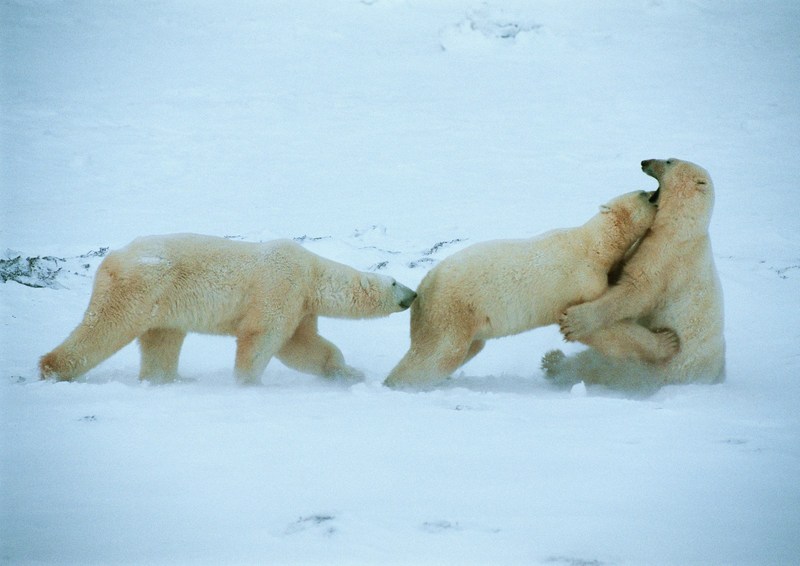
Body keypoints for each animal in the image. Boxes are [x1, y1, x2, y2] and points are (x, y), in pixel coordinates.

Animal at [39, 235, 416, 386]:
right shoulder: (279, 284)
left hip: (164, 303)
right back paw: (52, 369)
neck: (312, 273)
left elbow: (303, 347)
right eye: (395, 282)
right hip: (139, 287)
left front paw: (346, 373)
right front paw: (248, 383)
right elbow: (261, 336)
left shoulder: (300, 305)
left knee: (162, 340)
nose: (413, 295)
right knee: (105, 327)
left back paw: (168, 379)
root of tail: (112, 258)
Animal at [384, 192, 660, 390]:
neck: (594, 245)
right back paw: (398, 383)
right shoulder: (581, 279)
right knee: (440, 353)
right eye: (644, 194)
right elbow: (598, 319)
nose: (655, 193)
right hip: (452, 310)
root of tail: (424, 286)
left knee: (468, 347)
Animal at [552, 158, 724, 392]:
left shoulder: (667, 258)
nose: (644, 162)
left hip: (665, 368)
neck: (681, 230)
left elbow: (634, 292)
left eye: (669, 161)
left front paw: (575, 321)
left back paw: (556, 365)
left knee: (607, 368)